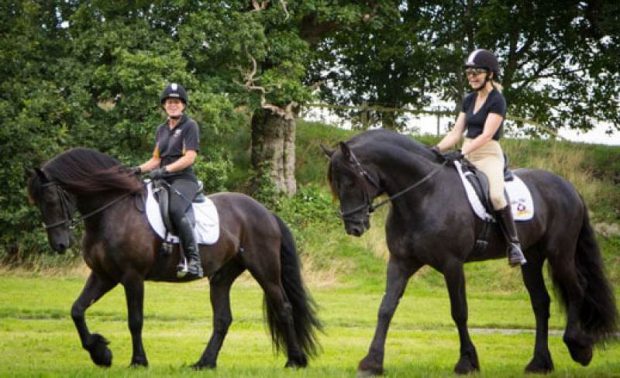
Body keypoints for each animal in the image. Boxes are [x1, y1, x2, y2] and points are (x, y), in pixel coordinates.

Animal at [27, 147, 322, 370]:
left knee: (284, 308)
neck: (112, 211)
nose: (60, 244)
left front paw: (138, 361)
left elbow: (135, 320)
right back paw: (204, 363)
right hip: (222, 277)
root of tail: (266, 213)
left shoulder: (132, 277)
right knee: (223, 319)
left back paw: (295, 361)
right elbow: (77, 310)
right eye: (37, 203)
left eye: (51, 199)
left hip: (265, 270)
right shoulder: (104, 275)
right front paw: (101, 354)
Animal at [322, 129, 616, 376]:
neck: (423, 195)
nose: (354, 227)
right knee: (541, 303)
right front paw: (372, 362)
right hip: (531, 259)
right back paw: (539, 363)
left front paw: (467, 361)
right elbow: (386, 308)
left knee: (577, 290)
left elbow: (459, 311)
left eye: (351, 181)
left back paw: (579, 348)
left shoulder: (452, 264)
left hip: (560, 253)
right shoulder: (401, 262)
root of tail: (568, 187)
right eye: (336, 183)